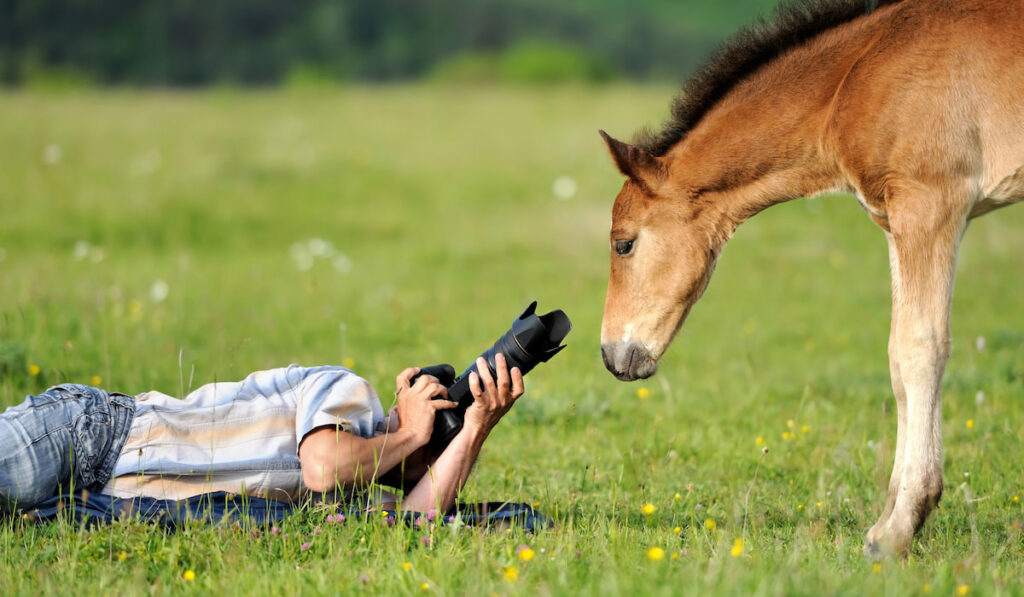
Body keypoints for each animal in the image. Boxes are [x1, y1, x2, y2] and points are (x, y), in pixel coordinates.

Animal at [598, 0, 1024, 557]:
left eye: (623, 244)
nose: (612, 355)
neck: (857, 78)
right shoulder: (895, 219)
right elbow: (896, 357)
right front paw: (887, 519)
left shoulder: (932, 204)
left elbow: (921, 348)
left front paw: (899, 529)